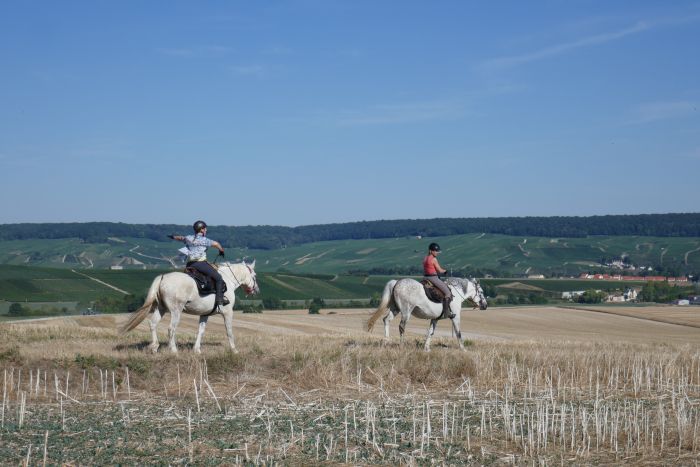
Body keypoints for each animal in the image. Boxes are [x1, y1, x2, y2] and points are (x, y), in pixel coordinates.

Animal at [120, 260, 260, 354]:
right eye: (254, 276)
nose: (256, 290)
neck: (228, 280)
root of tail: (163, 277)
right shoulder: (228, 312)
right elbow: (229, 331)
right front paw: (234, 350)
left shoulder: (205, 314)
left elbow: (200, 331)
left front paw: (197, 350)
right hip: (176, 311)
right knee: (171, 328)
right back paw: (173, 350)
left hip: (161, 309)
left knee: (153, 324)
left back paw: (154, 347)